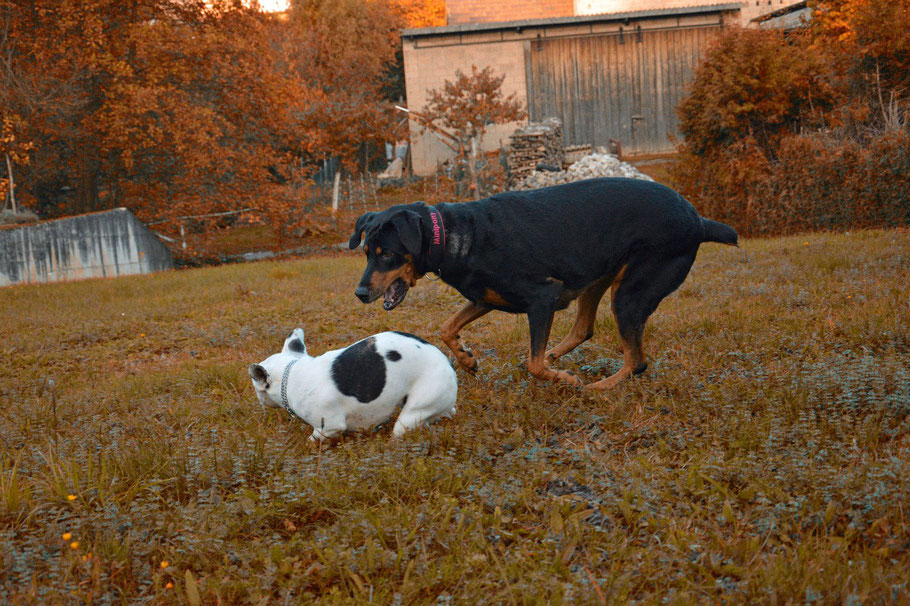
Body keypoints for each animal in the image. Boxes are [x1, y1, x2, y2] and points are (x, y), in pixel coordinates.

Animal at [346, 178, 736, 392]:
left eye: (386, 254)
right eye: (365, 251)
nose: (360, 294)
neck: (457, 236)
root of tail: (698, 221)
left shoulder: (542, 298)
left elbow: (533, 364)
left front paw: (565, 379)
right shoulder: (485, 299)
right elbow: (446, 327)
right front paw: (467, 359)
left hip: (630, 292)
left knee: (637, 361)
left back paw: (599, 386)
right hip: (600, 278)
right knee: (585, 328)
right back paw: (557, 357)